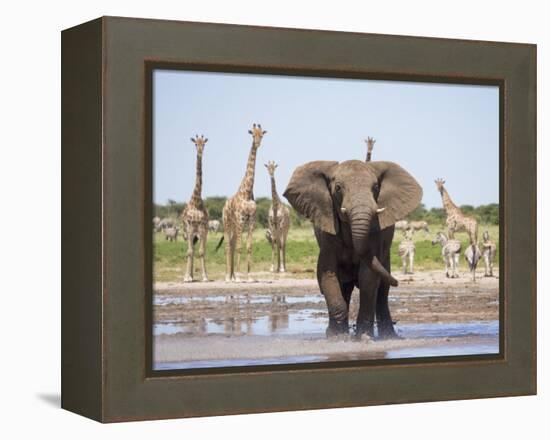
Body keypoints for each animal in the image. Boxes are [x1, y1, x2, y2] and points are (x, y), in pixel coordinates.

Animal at [218, 124, 268, 282]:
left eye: (261, 135)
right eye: (253, 134)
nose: (257, 143)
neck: (247, 191)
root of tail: (223, 206)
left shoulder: (251, 220)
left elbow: (248, 246)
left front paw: (249, 276)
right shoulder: (240, 219)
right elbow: (240, 247)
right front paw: (239, 276)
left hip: (234, 226)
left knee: (233, 245)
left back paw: (232, 275)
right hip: (227, 223)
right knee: (228, 246)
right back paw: (228, 277)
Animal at [284, 160, 422, 338]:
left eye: (375, 187)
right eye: (338, 188)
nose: (400, 281)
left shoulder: (375, 233)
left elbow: (368, 276)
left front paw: (363, 338)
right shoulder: (328, 234)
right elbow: (327, 273)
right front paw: (337, 337)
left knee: (382, 291)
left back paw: (388, 336)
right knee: (346, 287)